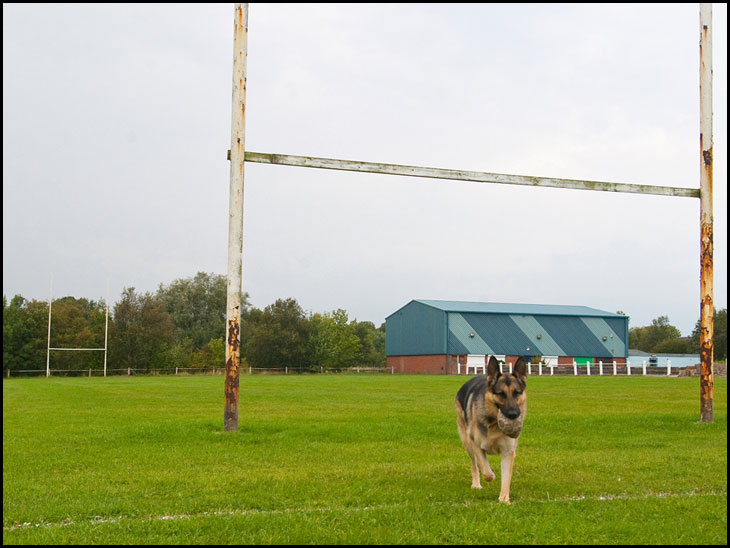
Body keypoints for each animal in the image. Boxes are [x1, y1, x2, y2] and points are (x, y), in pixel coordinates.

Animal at [452, 358, 528, 504]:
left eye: (516, 392)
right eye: (501, 394)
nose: (513, 414)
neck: (494, 424)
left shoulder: (508, 452)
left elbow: (506, 478)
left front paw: (504, 500)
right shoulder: (475, 443)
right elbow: (486, 471)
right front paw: (491, 475)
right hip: (467, 443)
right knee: (475, 465)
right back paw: (476, 484)